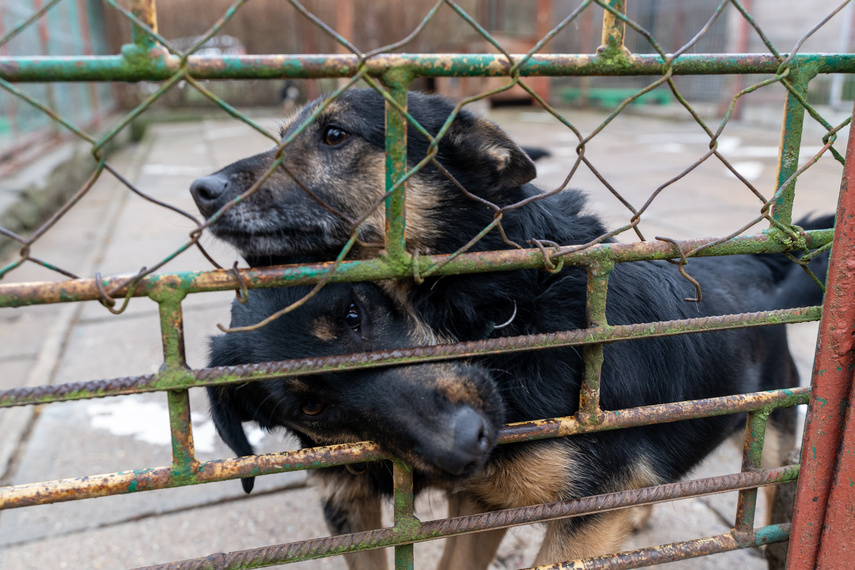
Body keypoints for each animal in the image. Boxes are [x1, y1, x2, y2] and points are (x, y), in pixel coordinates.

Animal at [192, 89, 828, 564]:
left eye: (333, 135)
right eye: (310, 407)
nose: (201, 189)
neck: (498, 307)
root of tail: (761, 264)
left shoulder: (579, 509)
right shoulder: (451, 499)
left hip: (775, 438)